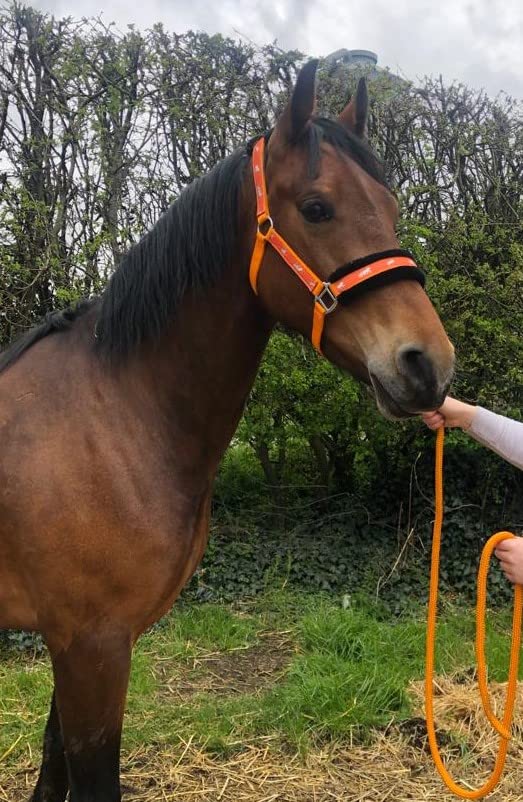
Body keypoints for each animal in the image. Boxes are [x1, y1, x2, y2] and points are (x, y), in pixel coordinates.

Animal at [0, 60, 454, 801]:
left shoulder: (73, 643)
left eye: (389, 208)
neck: (112, 418)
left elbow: (52, 759)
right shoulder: (93, 645)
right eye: (317, 208)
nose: (428, 364)